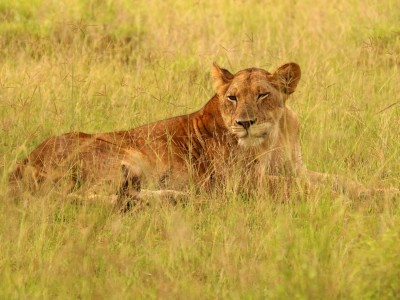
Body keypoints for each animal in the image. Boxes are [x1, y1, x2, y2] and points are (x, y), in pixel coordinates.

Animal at [9, 61, 396, 206]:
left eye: (263, 95)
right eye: (232, 97)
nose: (244, 123)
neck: (273, 136)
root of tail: (17, 169)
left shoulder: (295, 167)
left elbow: (341, 180)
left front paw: (384, 191)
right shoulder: (239, 184)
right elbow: (299, 188)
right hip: (122, 156)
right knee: (100, 198)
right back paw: (180, 198)